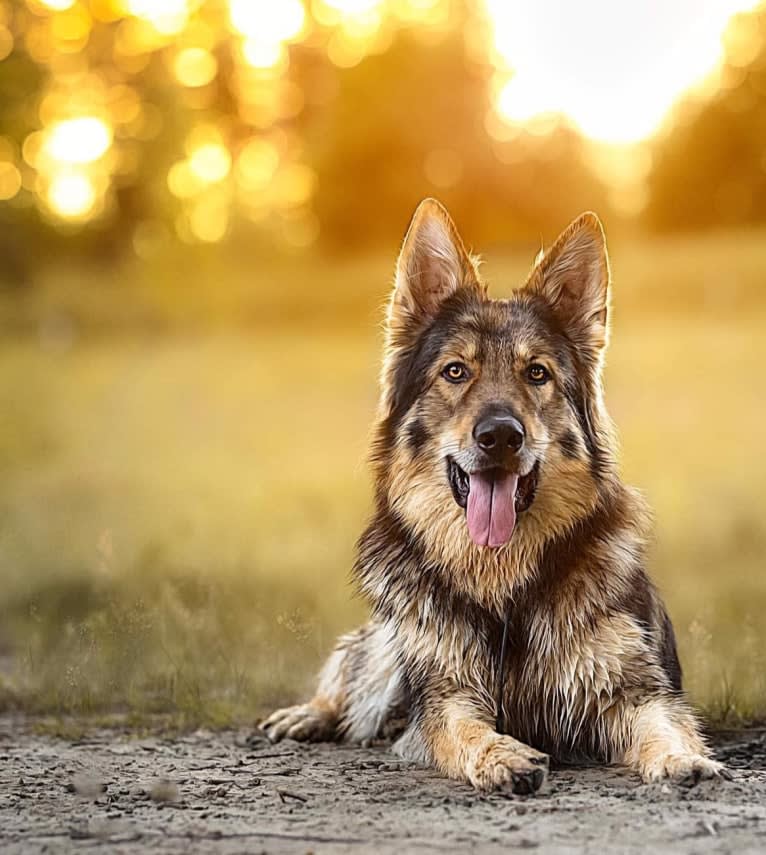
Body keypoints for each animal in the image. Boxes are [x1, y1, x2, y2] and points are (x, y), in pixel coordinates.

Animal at [262, 201, 728, 796]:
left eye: (538, 373)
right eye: (456, 371)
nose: (501, 436)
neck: (503, 585)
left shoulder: (633, 690)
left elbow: (664, 725)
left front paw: (681, 759)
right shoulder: (444, 694)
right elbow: (464, 730)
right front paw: (501, 756)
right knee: (356, 667)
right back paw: (311, 713)